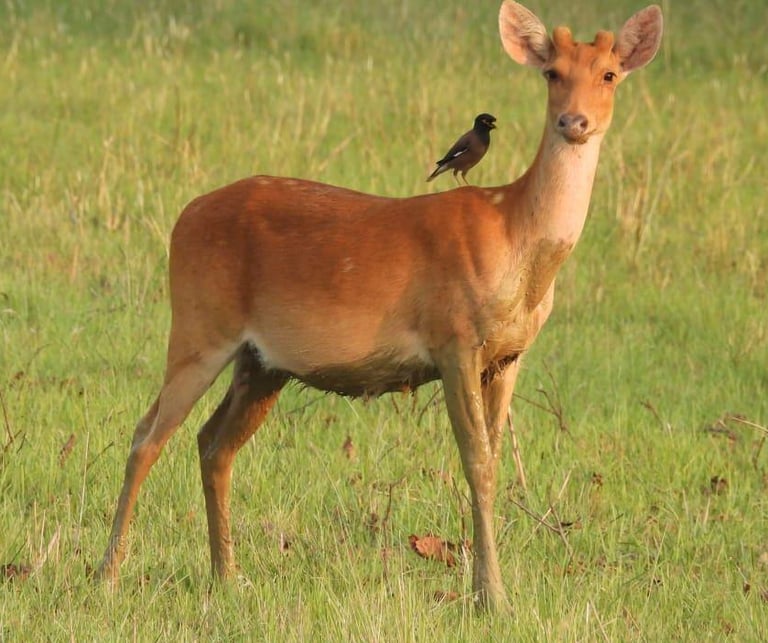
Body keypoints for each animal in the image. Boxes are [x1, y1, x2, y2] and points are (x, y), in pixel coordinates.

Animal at [96, 1, 663, 612]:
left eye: (610, 74)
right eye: (552, 73)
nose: (574, 123)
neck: (518, 242)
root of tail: (183, 218)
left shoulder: (509, 356)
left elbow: (494, 460)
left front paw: (487, 588)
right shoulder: (454, 337)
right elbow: (477, 463)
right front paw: (493, 598)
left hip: (261, 362)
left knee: (212, 442)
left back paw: (228, 575)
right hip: (199, 326)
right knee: (147, 435)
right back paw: (108, 575)